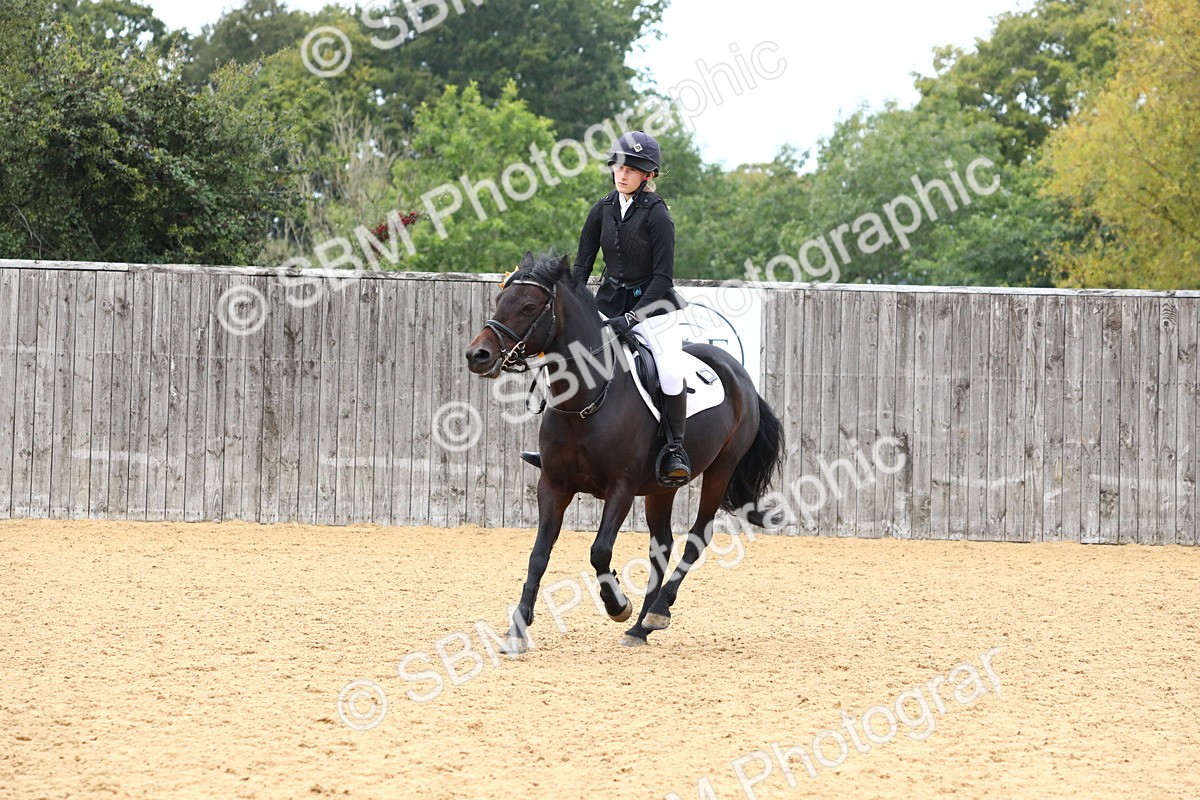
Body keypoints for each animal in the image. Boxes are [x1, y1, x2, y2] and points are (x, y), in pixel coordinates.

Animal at [464, 251, 784, 649]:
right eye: (499, 300)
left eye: (529, 306)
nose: (477, 355)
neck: (586, 399)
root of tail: (738, 374)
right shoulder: (553, 485)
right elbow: (539, 554)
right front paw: (518, 628)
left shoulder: (622, 487)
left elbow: (599, 550)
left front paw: (617, 606)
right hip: (661, 487)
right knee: (662, 544)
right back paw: (641, 627)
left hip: (720, 469)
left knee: (697, 538)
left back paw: (657, 612)